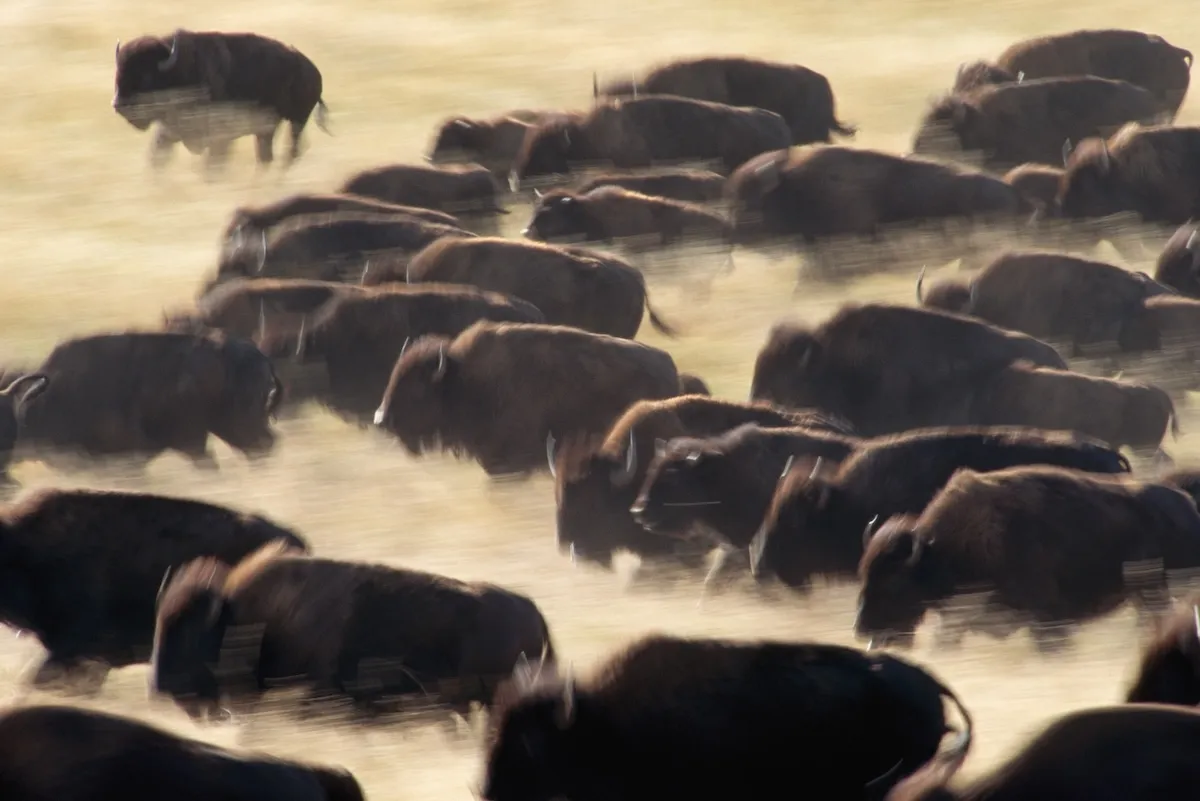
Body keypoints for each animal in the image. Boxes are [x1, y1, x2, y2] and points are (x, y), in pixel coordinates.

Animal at [113, 29, 328, 172]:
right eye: (118, 71)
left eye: (146, 76)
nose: (118, 105)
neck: (179, 72)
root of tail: (313, 70)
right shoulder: (169, 133)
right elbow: (157, 158)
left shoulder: (220, 136)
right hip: (269, 129)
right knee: (267, 154)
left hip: (297, 121)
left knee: (290, 150)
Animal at [373, 321, 682, 477]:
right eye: (394, 377)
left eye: (417, 389)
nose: (381, 419)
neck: (464, 381)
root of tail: (669, 365)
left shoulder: (509, 460)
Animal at [856, 465, 1200, 651]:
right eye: (865, 575)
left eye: (894, 584)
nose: (862, 630)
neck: (940, 551)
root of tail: (1186, 505)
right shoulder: (957, 623)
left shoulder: (1046, 618)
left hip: (1163, 591)